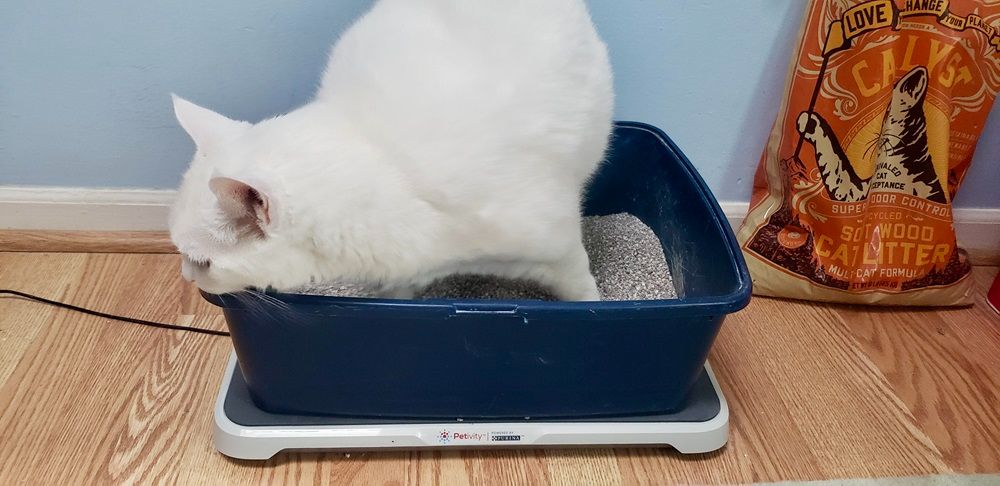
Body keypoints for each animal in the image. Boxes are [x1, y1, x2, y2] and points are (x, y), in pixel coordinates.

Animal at [168, 0, 612, 300]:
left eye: (203, 263)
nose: (187, 278)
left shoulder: (559, 248)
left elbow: (581, 289)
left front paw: (593, 308)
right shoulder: (400, 272)